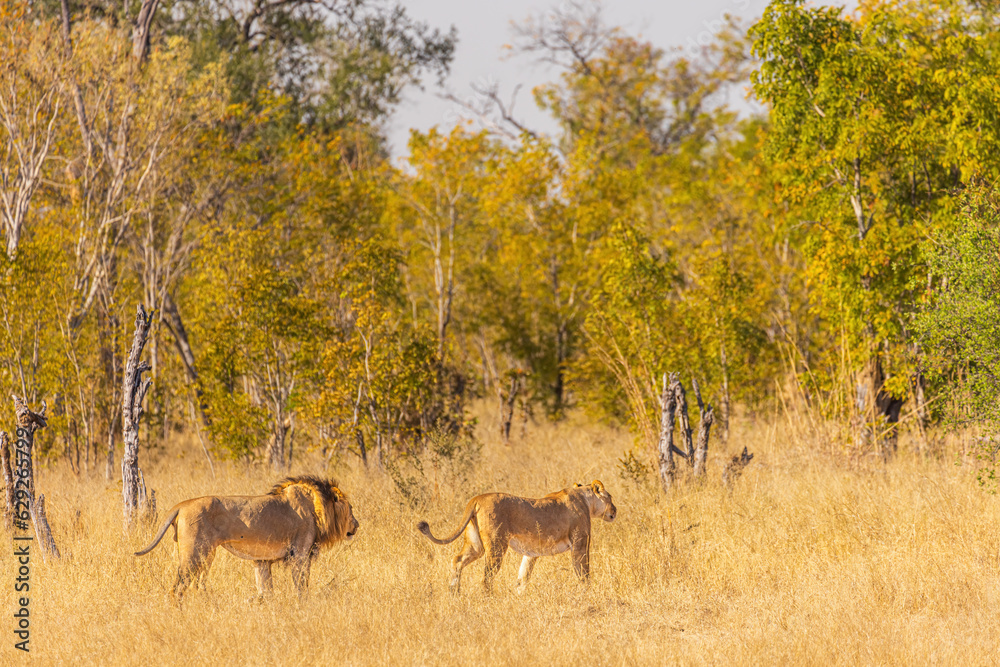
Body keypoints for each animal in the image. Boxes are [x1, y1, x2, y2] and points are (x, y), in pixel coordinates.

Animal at [134, 476, 358, 601]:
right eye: (351, 509)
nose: (357, 525)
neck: (318, 506)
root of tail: (182, 504)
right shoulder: (300, 555)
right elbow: (302, 586)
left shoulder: (262, 560)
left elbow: (265, 591)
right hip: (195, 554)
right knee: (178, 588)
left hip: (205, 555)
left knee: (195, 585)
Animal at [416, 480, 617, 594]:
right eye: (611, 497)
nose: (615, 511)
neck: (585, 499)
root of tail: (477, 499)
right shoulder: (580, 543)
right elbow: (583, 571)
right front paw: (588, 593)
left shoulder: (531, 552)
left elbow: (523, 575)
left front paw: (520, 596)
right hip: (496, 545)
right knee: (486, 576)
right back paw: (488, 598)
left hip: (475, 545)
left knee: (457, 560)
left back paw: (453, 592)